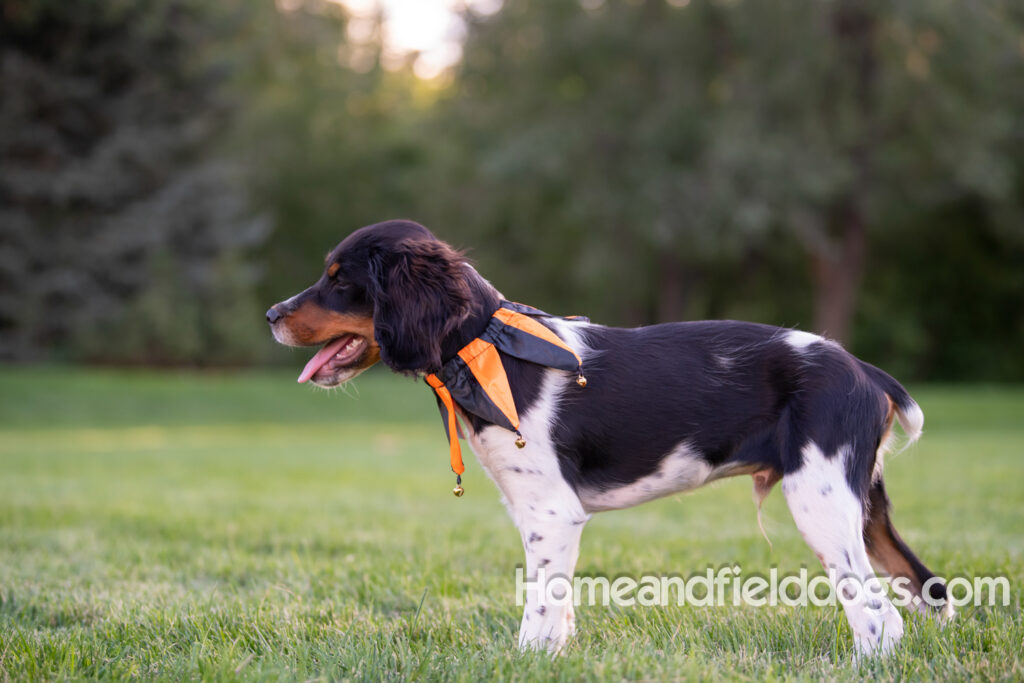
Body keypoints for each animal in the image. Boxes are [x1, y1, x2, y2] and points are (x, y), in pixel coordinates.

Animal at [266, 219, 950, 655]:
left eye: (339, 279)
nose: (271, 314)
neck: (489, 349)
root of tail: (863, 370)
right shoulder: (539, 513)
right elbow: (558, 607)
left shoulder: (552, 512)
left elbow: (538, 612)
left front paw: (527, 660)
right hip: (862, 505)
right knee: (923, 591)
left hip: (821, 499)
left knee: (878, 617)